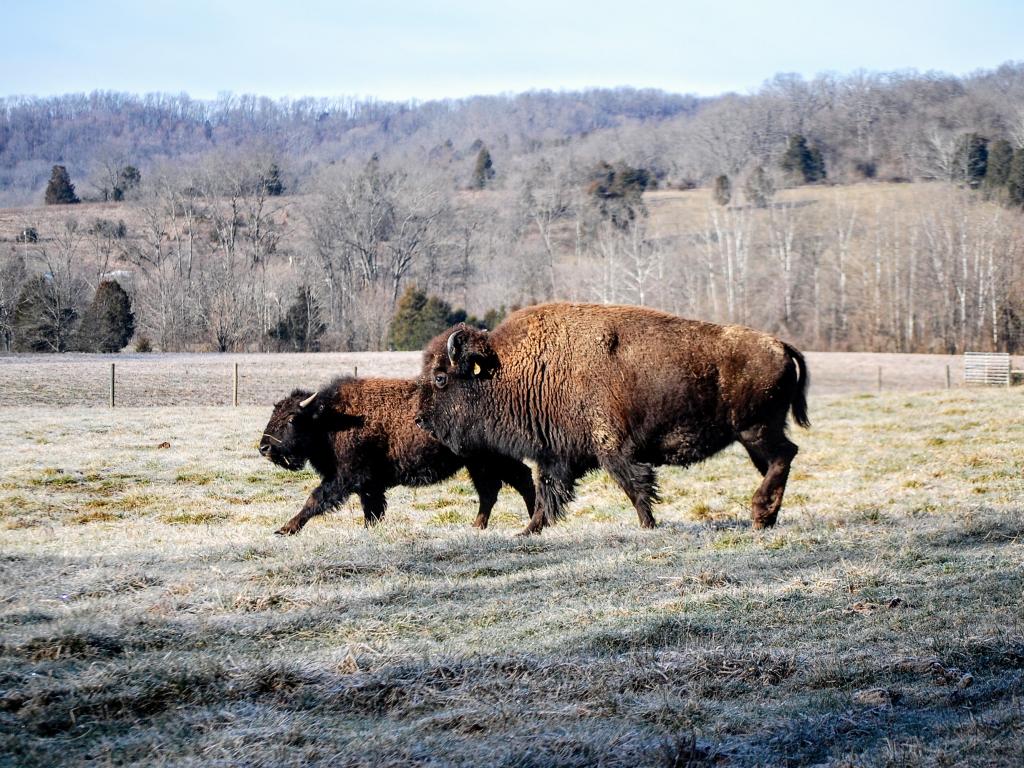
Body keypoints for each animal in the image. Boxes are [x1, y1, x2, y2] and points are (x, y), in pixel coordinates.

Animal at [258, 376, 536, 536]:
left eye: (292, 419)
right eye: (273, 414)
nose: (264, 448)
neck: (331, 418)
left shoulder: (346, 477)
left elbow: (314, 499)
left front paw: (285, 529)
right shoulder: (368, 484)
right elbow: (372, 508)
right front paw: (370, 530)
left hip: (490, 461)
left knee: (518, 480)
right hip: (478, 464)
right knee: (493, 489)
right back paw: (479, 526)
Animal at [415, 303, 806, 536]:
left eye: (440, 378)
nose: (420, 420)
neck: (514, 367)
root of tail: (780, 345)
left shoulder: (611, 448)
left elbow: (633, 484)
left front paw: (647, 525)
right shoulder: (557, 455)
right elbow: (548, 495)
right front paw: (528, 530)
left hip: (756, 430)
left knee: (784, 456)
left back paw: (759, 514)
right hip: (755, 435)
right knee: (780, 460)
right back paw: (767, 519)